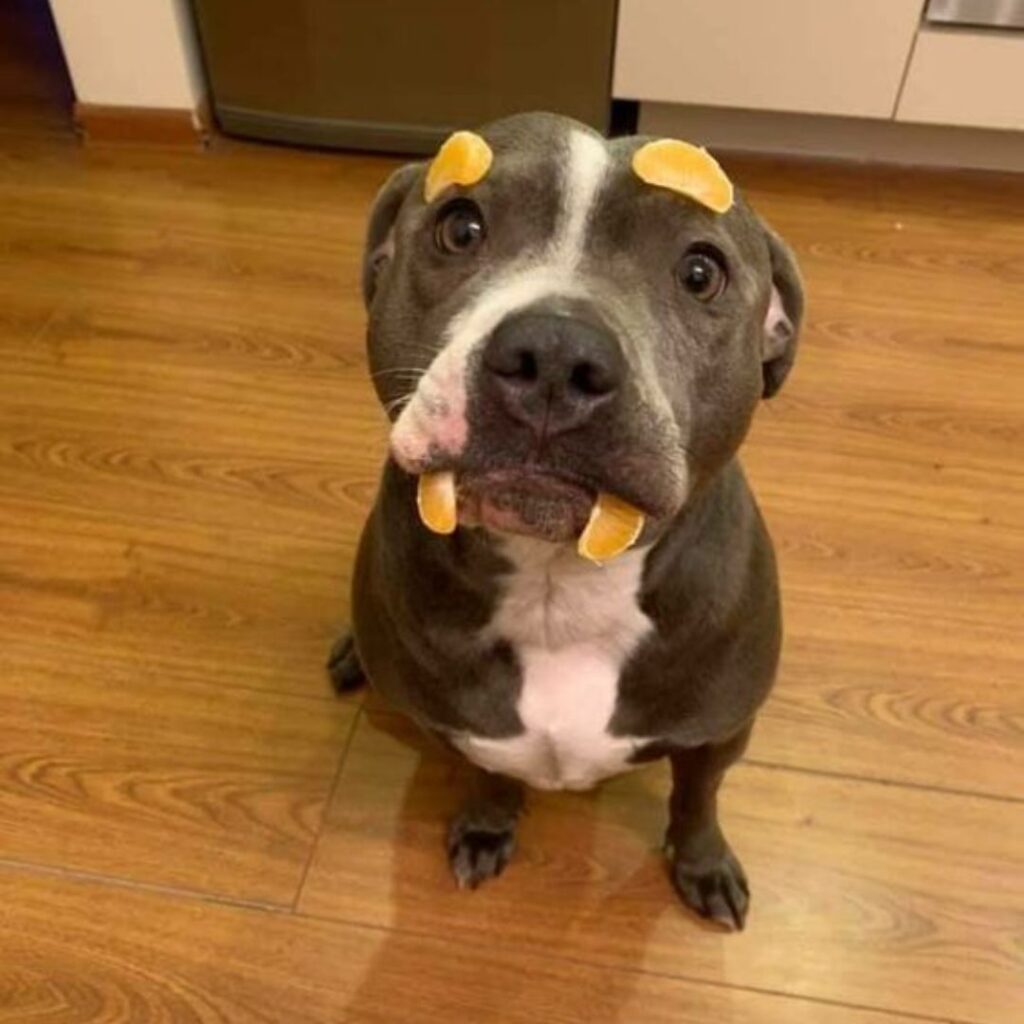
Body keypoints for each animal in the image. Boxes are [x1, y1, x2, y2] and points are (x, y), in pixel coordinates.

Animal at [327, 110, 798, 929]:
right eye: (459, 228)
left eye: (701, 273)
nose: (554, 354)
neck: (559, 583)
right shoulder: (463, 728)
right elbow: (487, 776)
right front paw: (487, 826)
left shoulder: (721, 729)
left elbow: (697, 797)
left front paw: (702, 864)